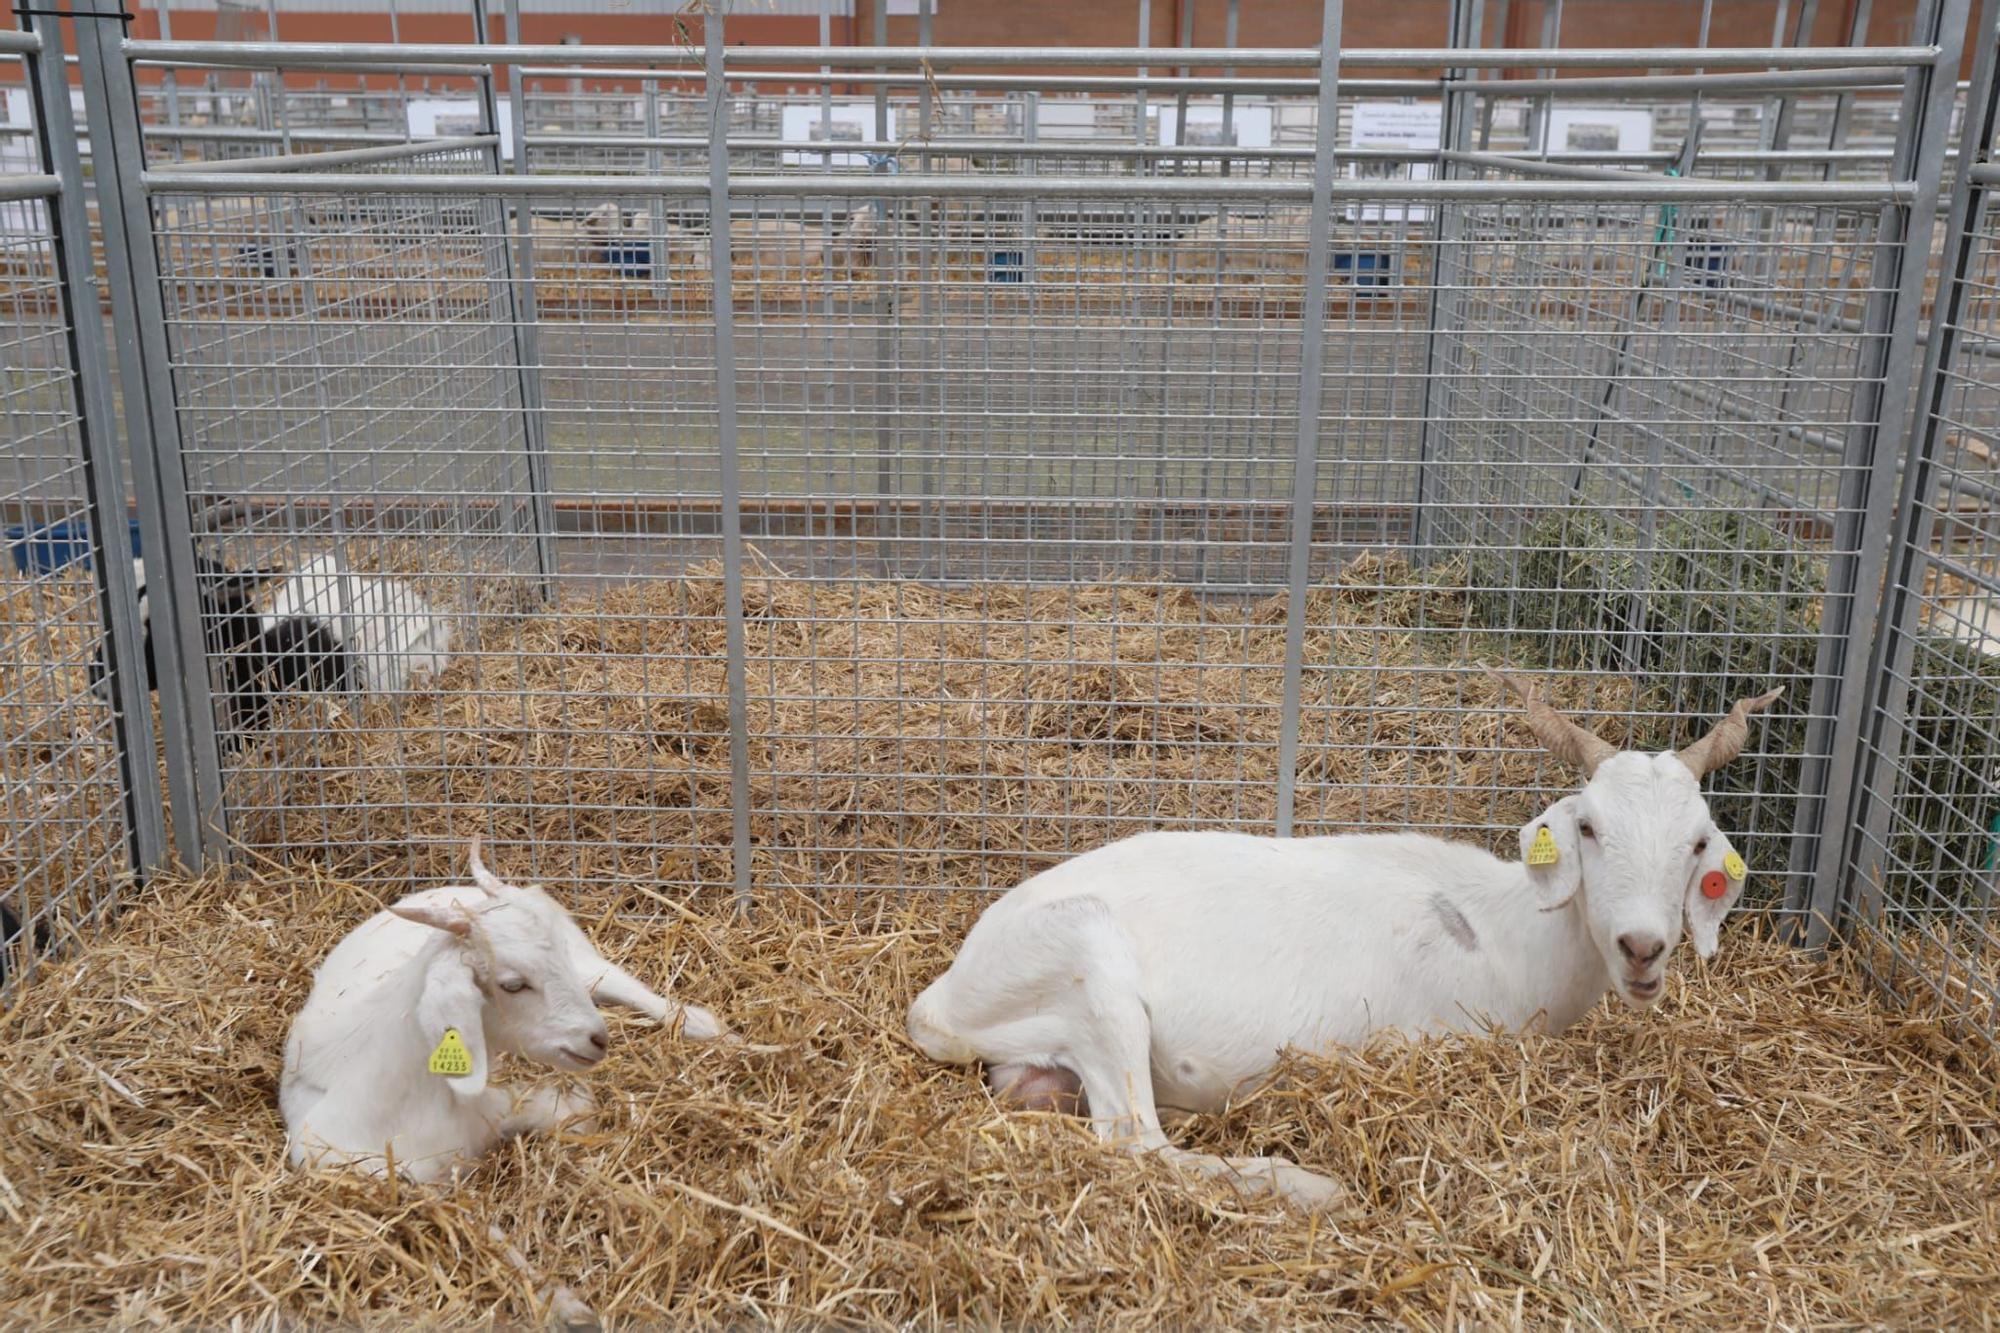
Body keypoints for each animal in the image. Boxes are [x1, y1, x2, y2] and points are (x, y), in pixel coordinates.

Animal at [278, 836, 724, 1176]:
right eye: (513, 985)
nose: (598, 1039)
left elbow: (566, 1108)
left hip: (587, 963)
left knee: (627, 985)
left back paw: (703, 1025)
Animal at [908, 668, 1784, 1208]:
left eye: (1698, 843)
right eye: (1591, 828)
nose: (1643, 947)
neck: (1499, 929)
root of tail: (941, 999)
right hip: (1090, 968)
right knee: (1135, 1140)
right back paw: (1308, 1185)